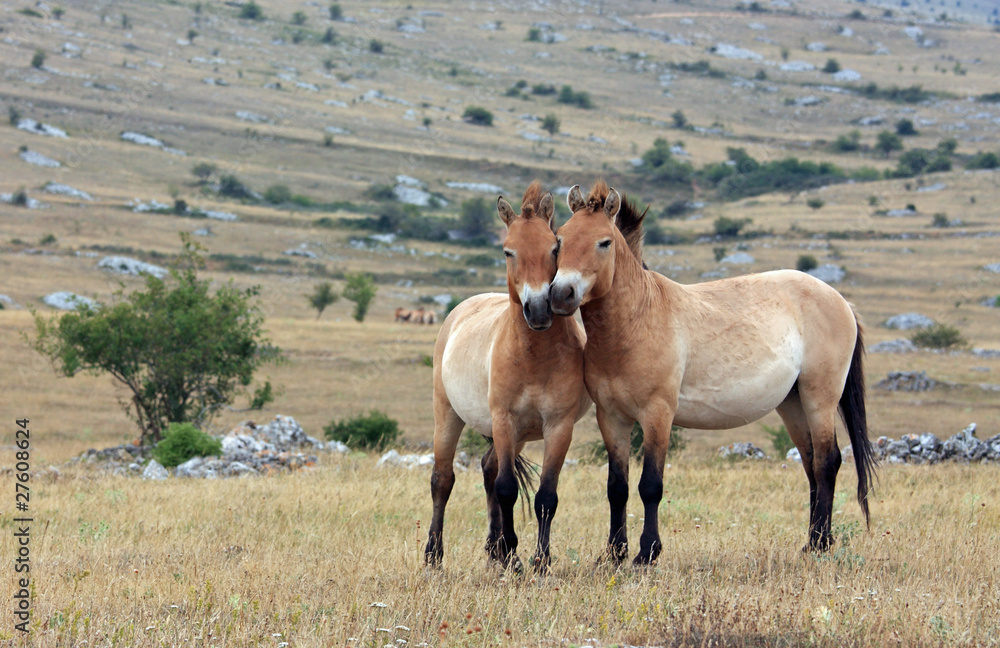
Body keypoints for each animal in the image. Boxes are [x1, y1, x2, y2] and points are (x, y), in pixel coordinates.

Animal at [424, 182, 591, 571]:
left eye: (554, 247)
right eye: (508, 251)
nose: (539, 309)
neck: (533, 357)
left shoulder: (558, 426)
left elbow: (546, 495)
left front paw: (539, 560)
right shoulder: (503, 420)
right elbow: (507, 488)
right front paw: (513, 553)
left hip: (519, 435)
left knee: (488, 468)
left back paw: (493, 549)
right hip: (448, 414)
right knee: (443, 479)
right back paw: (434, 555)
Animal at [549, 181, 876, 564]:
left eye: (604, 242)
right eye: (560, 240)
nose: (561, 294)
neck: (637, 320)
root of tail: (840, 300)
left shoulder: (657, 415)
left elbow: (650, 486)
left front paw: (647, 552)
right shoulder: (612, 418)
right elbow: (617, 487)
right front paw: (614, 553)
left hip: (819, 398)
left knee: (827, 462)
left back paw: (821, 544)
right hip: (792, 404)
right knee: (812, 465)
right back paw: (811, 542)